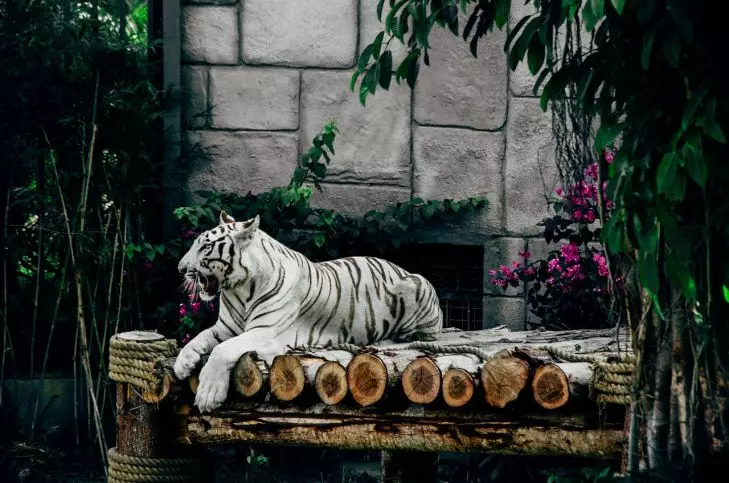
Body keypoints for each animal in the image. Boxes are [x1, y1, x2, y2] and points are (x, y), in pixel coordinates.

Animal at [173, 211, 443, 412]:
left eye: (205, 247)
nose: (180, 269)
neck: (239, 290)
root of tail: (400, 267)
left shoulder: (266, 333)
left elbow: (221, 350)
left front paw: (208, 394)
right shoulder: (225, 328)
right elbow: (200, 337)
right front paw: (183, 363)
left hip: (417, 286)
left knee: (423, 333)